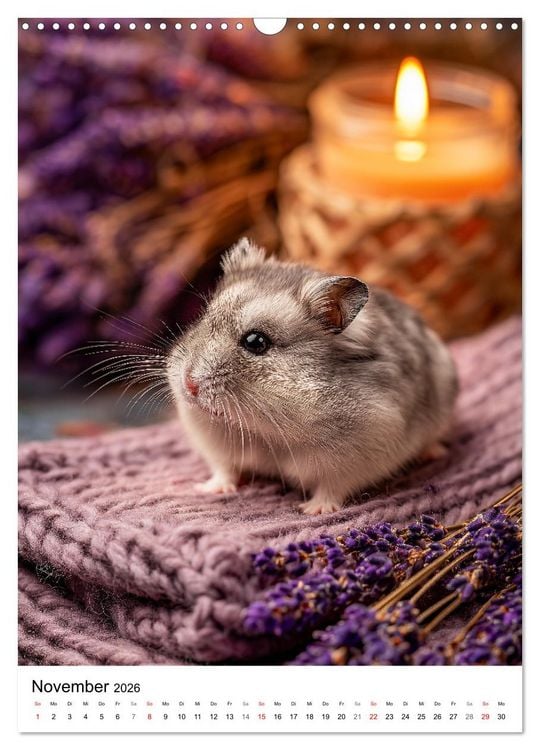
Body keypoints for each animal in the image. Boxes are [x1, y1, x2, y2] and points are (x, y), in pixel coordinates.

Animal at [167, 238, 458, 515]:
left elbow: (331, 488)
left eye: (256, 342)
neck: (262, 431)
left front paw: (312, 510)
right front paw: (208, 489)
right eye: (204, 318)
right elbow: (224, 469)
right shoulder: (216, 447)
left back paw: (434, 453)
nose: (188, 385)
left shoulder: (355, 458)